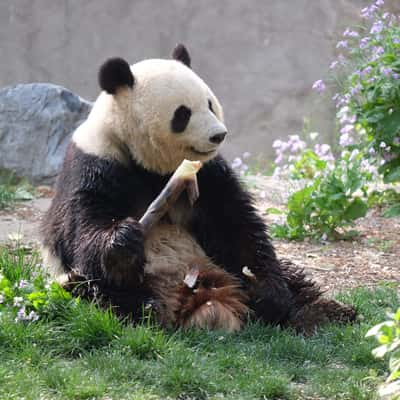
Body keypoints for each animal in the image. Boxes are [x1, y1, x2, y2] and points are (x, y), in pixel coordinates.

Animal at [41, 43, 356, 332]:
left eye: (210, 104)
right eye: (183, 114)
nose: (219, 135)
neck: (149, 164)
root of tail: (203, 297)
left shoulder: (209, 173)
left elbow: (237, 225)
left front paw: (270, 294)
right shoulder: (96, 163)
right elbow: (83, 228)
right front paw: (124, 243)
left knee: (290, 276)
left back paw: (322, 311)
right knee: (92, 291)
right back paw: (143, 305)